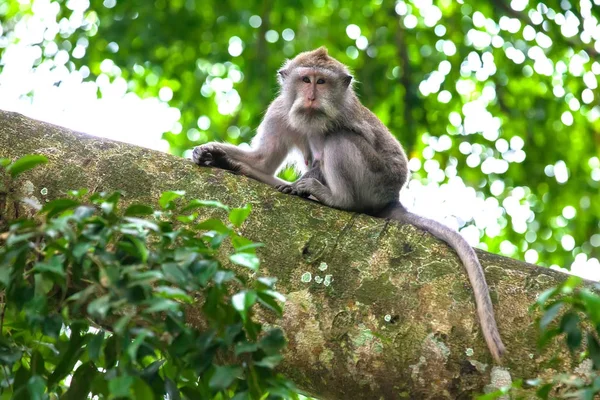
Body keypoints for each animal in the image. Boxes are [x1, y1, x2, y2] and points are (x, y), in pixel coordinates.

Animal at [193, 47, 506, 362]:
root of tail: (393, 199)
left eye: (321, 82)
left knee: (339, 139)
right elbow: (263, 161)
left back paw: (335, 198)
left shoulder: (339, 118)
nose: (311, 97)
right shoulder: (279, 112)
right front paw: (214, 155)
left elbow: (327, 150)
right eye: (305, 80)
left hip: (376, 181)